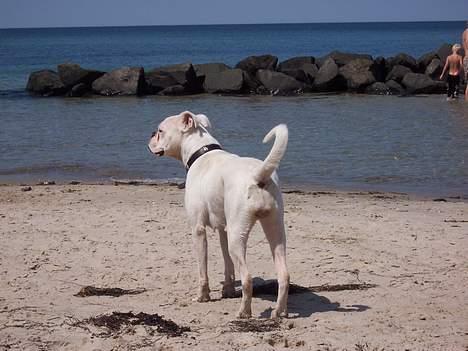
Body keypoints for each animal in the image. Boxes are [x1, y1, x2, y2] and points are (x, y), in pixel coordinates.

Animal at [149, 111, 288, 320]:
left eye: (160, 131)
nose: (151, 135)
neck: (202, 152)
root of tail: (258, 176)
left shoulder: (198, 230)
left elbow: (203, 270)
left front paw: (202, 296)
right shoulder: (223, 229)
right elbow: (227, 265)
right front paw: (227, 291)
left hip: (237, 237)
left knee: (247, 278)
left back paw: (244, 312)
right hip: (274, 232)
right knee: (284, 275)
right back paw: (280, 311)